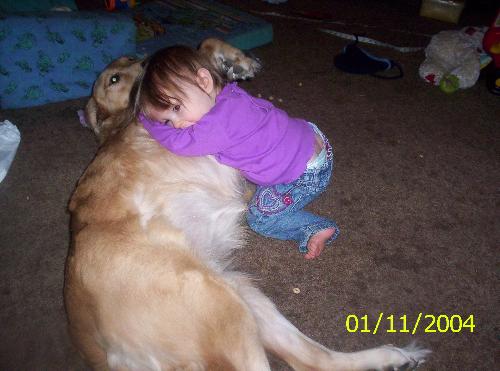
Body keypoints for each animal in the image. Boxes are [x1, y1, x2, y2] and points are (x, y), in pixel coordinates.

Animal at [63, 39, 430, 370]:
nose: (147, 59)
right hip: (223, 305)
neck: (119, 123)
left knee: (316, 361)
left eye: (129, 59)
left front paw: (235, 62)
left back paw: (394, 357)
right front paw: (234, 63)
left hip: (241, 294)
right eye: (114, 79)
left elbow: (205, 47)